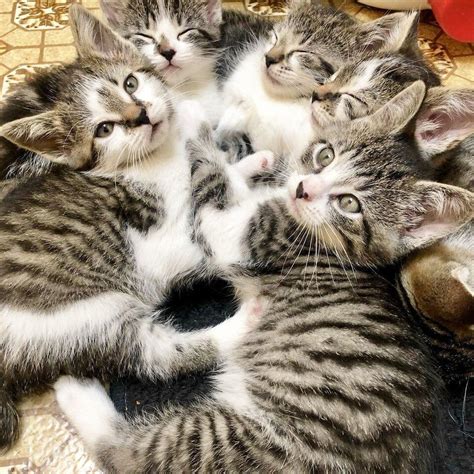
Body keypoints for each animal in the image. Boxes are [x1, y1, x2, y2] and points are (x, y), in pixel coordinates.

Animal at [0, 6, 256, 452]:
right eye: (104, 129)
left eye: (130, 83)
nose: (140, 115)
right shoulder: (162, 242)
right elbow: (213, 201)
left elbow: (222, 165)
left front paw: (251, 156)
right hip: (86, 315)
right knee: (160, 356)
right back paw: (247, 320)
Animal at [53, 83, 472, 472]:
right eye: (325, 155)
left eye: (349, 203)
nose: (303, 190)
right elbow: (232, 184)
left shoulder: (246, 236)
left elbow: (211, 179)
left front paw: (191, 120)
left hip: (238, 442)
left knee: (132, 454)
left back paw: (77, 389)